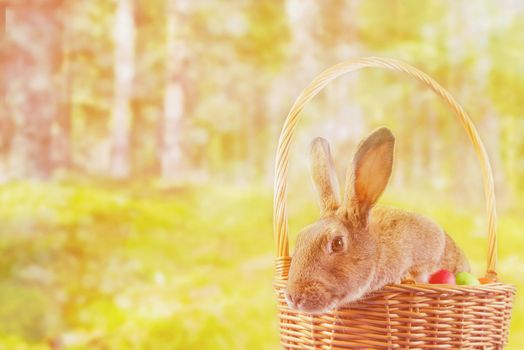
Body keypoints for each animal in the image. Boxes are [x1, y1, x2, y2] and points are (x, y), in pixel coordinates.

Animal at [286, 127, 470, 314]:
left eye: (337, 243)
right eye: (300, 238)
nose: (294, 297)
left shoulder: (431, 245)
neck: (378, 249)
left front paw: (406, 278)